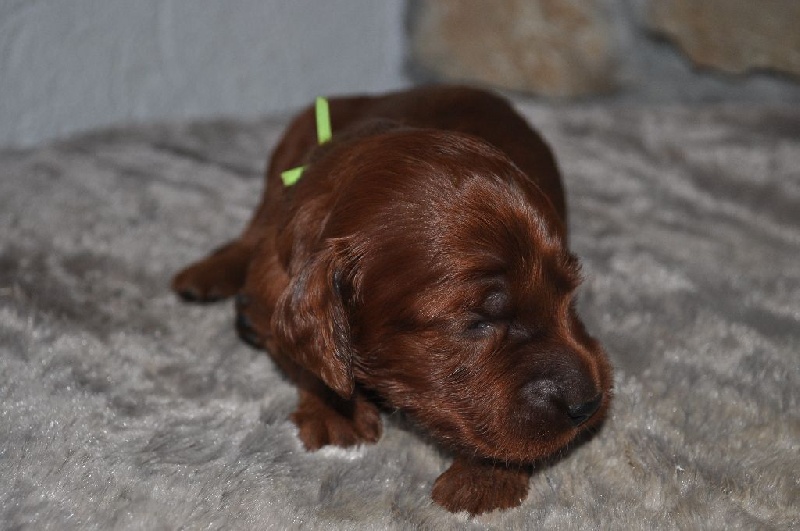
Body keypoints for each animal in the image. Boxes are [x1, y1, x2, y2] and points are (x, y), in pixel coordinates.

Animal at [172, 85, 612, 514]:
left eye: (569, 291)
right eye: (477, 322)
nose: (588, 404)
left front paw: (485, 478)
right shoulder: (275, 286)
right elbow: (306, 358)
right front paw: (337, 412)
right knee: (255, 226)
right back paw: (208, 275)